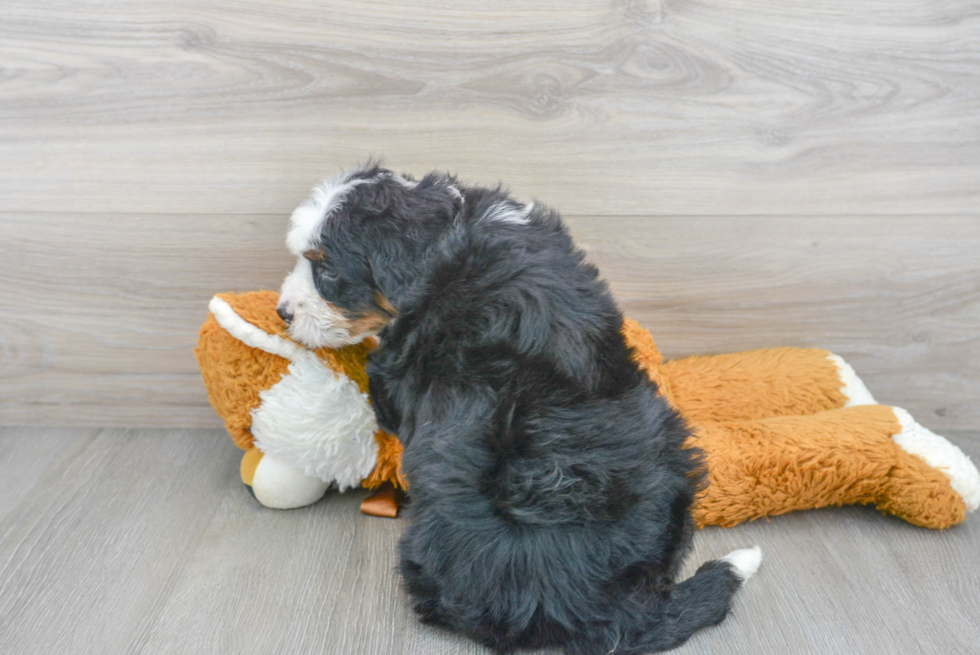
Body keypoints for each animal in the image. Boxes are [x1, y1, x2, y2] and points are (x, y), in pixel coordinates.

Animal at [280, 165, 760, 655]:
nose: (282, 313)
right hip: (675, 460)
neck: (446, 237)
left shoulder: (397, 376)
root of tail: (611, 612)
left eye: (328, 270)